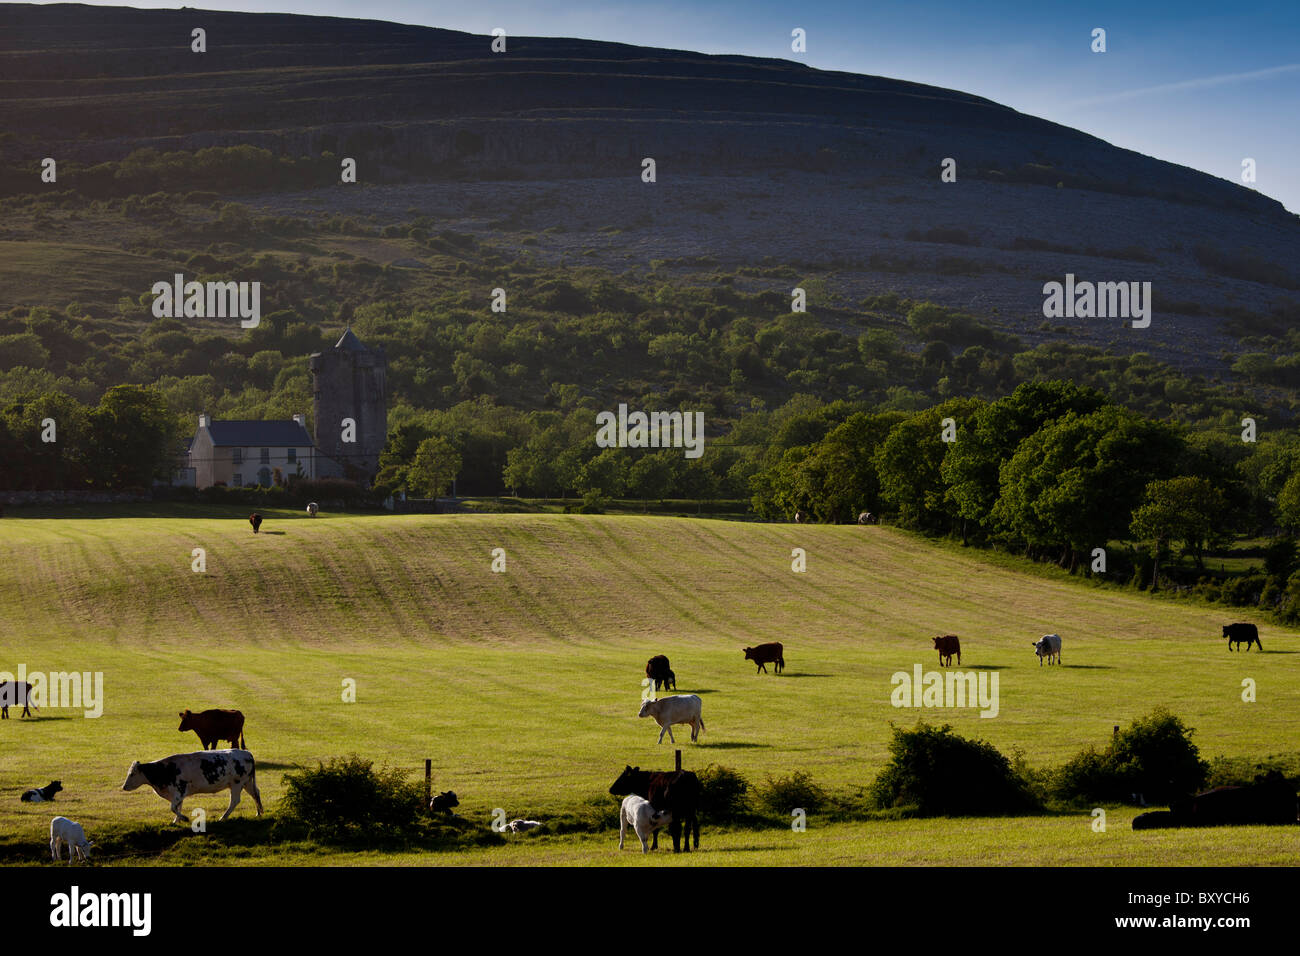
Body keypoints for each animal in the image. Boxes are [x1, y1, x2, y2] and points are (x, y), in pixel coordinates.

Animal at [120, 749, 262, 822]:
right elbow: (178, 807)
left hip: (237, 783)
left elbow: (173, 807)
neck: (165, 770)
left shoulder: (179, 791)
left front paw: (184, 818)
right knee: (256, 793)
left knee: (235, 800)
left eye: (131, 774)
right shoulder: (177, 794)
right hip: (247, 782)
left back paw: (223, 817)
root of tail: (247, 753)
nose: (124, 787)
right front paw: (176, 821)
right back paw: (259, 812)